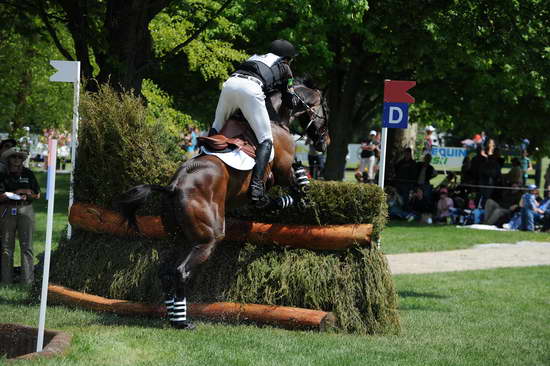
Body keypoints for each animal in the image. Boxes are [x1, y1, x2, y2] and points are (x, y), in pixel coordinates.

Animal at [117, 79, 330, 328]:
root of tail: (174, 186)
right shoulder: (281, 170)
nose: (325, 142)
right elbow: (294, 184)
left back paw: (173, 316)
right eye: (326, 109)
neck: (276, 117)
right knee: (181, 271)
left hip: (176, 236)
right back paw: (183, 322)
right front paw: (296, 197)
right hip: (209, 238)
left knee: (166, 271)